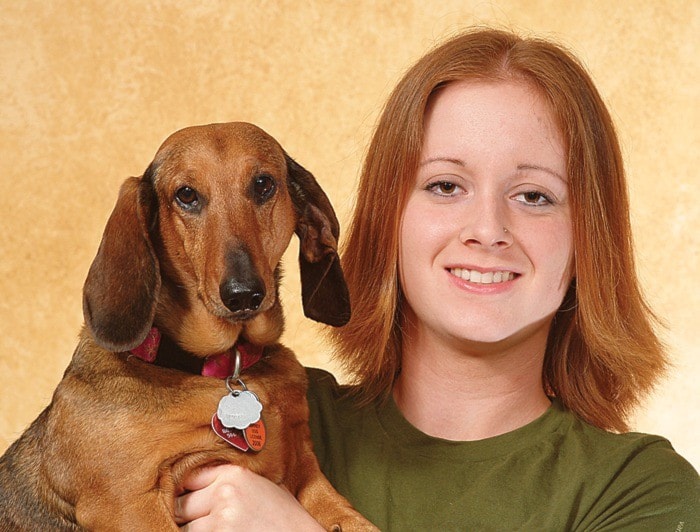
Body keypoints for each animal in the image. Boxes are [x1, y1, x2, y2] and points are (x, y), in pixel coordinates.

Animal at [0, 122, 378, 528]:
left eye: (263, 184)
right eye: (186, 195)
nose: (243, 294)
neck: (225, 370)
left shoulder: (304, 467)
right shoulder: (128, 504)